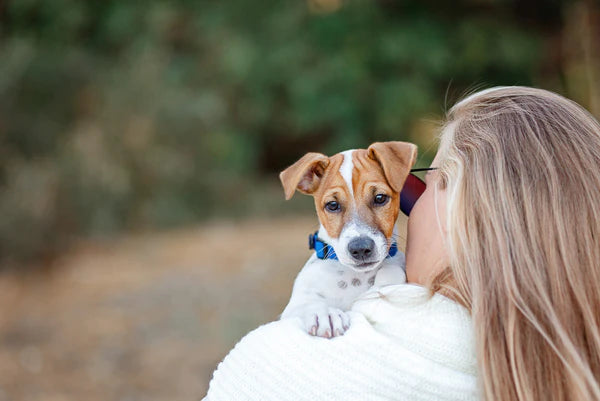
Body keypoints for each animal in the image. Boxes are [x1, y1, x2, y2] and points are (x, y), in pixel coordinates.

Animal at [278, 141, 414, 338]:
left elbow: (392, 271)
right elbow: (307, 303)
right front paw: (325, 314)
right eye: (333, 205)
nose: (360, 248)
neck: (355, 276)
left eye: (380, 198)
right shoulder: (293, 306)